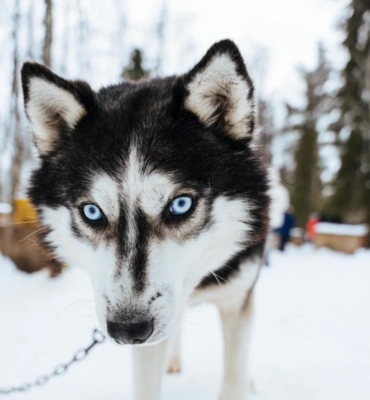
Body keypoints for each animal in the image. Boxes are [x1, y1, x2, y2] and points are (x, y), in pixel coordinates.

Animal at [21, 40, 268, 400]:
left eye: (180, 205)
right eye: (92, 211)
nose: (127, 330)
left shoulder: (237, 302)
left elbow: (233, 377)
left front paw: (242, 382)